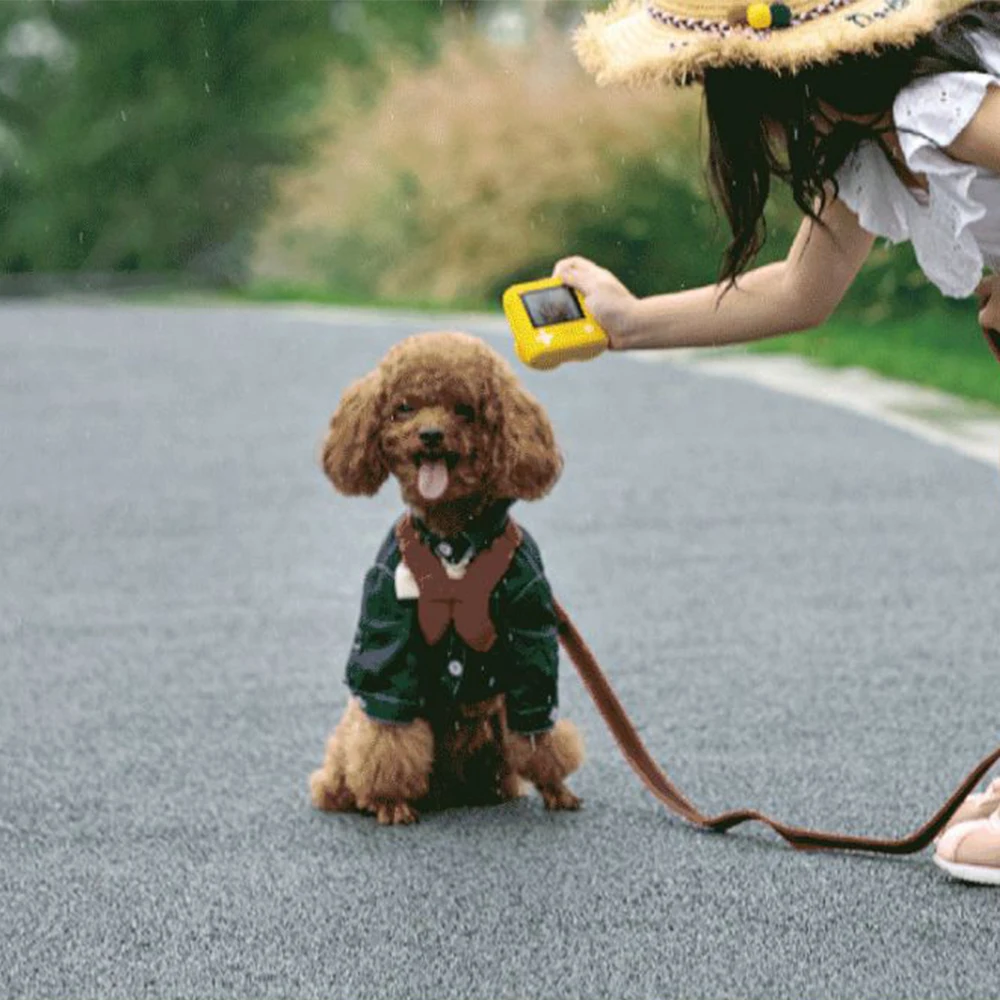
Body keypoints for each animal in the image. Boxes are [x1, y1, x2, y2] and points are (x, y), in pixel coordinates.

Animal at [308, 332, 584, 824]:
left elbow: (538, 728)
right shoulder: (387, 626)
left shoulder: (531, 629)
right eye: (404, 408)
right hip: (352, 728)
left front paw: (555, 787)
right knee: (349, 760)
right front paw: (389, 800)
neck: (453, 537)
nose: (431, 435)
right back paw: (345, 793)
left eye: (464, 410)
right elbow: (388, 733)